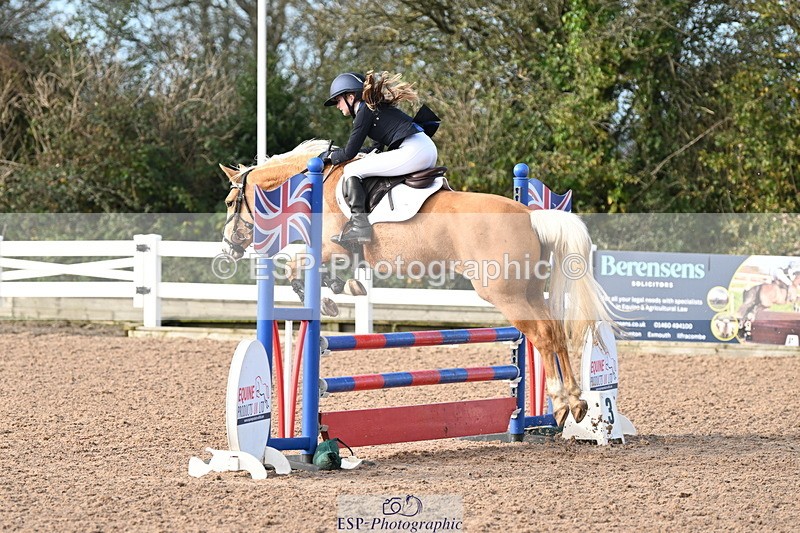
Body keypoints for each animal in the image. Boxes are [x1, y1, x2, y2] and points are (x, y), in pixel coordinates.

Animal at [219, 139, 615, 426]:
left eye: (229, 201)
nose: (229, 247)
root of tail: (531, 215)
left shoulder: (333, 248)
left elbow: (295, 268)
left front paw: (331, 297)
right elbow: (305, 270)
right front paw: (341, 289)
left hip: (505, 295)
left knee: (543, 335)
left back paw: (562, 403)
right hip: (529, 291)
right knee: (555, 331)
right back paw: (575, 403)